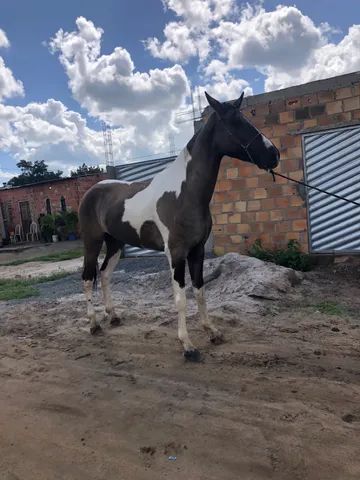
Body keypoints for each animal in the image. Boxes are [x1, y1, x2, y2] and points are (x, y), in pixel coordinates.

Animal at [79, 91, 282, 360]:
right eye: (237, 123)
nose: (274, 155)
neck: (185, 193)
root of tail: (92, 190)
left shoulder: (196, 251)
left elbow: (200, 291)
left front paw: (212, 332)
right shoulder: (176, 253)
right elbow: (181, 299)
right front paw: (187, 345)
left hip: (115, 244)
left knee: (104, 275)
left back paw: (113, 317)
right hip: (92, 243)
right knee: (87, 278)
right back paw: (93, 324)